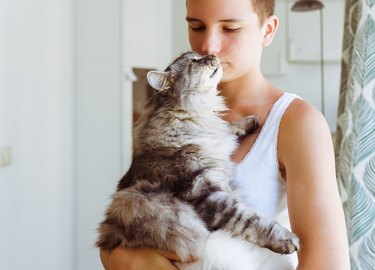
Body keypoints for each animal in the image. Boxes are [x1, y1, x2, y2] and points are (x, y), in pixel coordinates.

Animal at [96, 51, 300, 270]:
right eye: (194, 61)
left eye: (199, 55)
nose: (212, 54)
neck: (195, 117)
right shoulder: (205, 194)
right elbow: (250, 220)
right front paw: (287, 239)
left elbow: (228, 127)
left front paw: (249, 122)